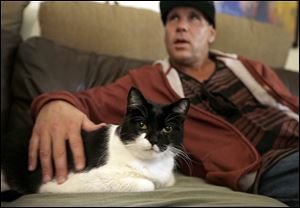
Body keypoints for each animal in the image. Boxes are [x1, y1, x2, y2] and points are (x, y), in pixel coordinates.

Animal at [1, 87, 190, 194]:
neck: (150, 164)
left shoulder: (167, 178)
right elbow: (147, 184)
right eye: (142, 124)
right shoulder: (66, 181)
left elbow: (168, 181)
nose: (154, 139)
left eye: (167, 129)